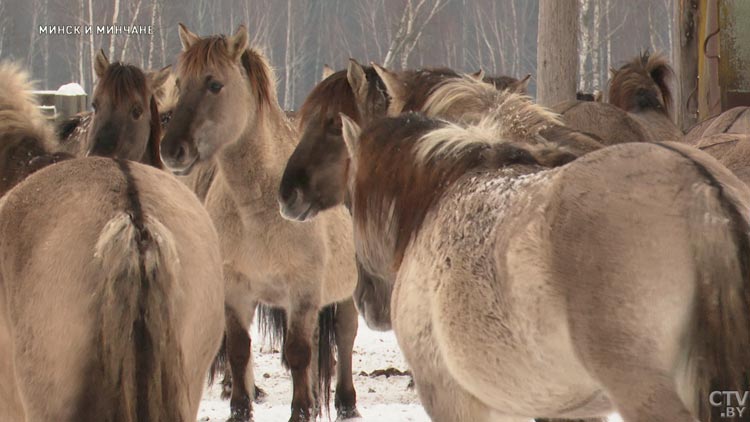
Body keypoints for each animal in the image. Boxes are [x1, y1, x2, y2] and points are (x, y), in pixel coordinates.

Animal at [160, 24, 362, 420]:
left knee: (344, 335)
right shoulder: (236, 290)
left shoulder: (302, 290)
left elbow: (298, 353)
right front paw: (241, 408)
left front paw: (300, 411)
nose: (172, 149)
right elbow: (240, 350)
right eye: (179, 82)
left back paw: (346, 402)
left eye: (214, 84)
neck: (257, 211)